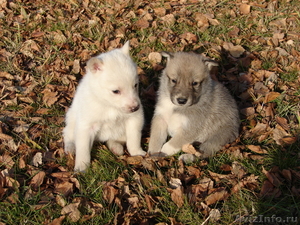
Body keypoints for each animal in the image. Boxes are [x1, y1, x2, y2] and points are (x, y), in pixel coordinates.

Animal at [63, 41, 146, 171]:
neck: (109, 106)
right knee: (68, 134)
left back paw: (116, 147)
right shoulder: (85, 126)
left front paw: (137, 152)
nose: (135, 108)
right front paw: (81, 167)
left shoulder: (135, 119)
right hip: (71, 118)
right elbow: (83, 148)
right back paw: (70, 147)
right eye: (115, 91)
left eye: (135, 85)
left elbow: (134, 137)